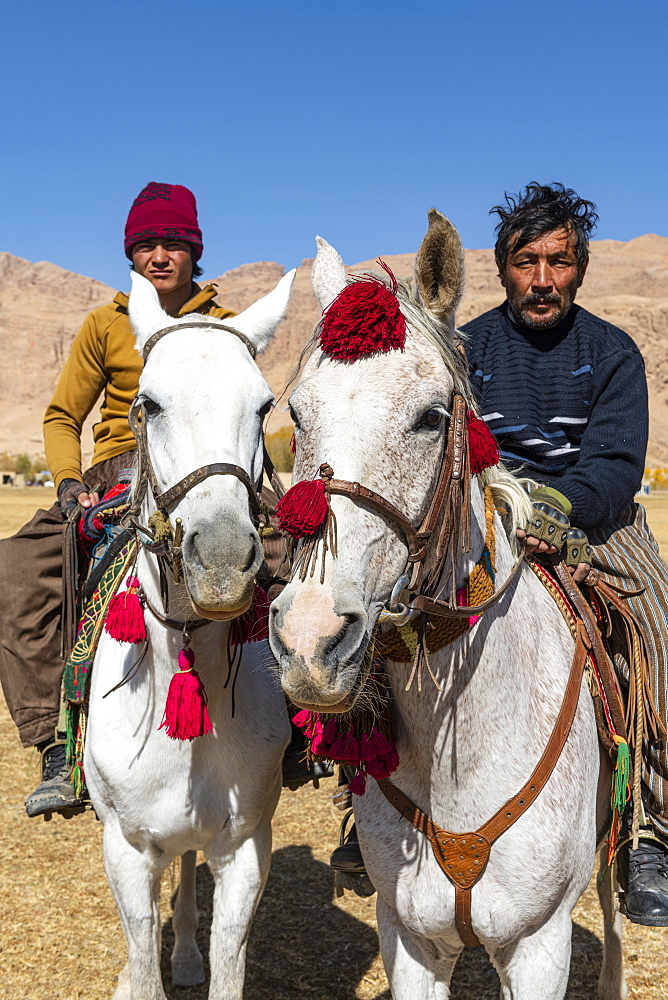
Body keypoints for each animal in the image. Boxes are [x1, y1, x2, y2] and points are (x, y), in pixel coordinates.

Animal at [83, 270, 294, 1000]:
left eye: (264, 407)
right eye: (148, 405)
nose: (223, 561)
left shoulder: (246, 846)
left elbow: (227, 956)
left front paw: (196, 960)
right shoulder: (124, 848)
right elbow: (141, 952)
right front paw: (140, 972)